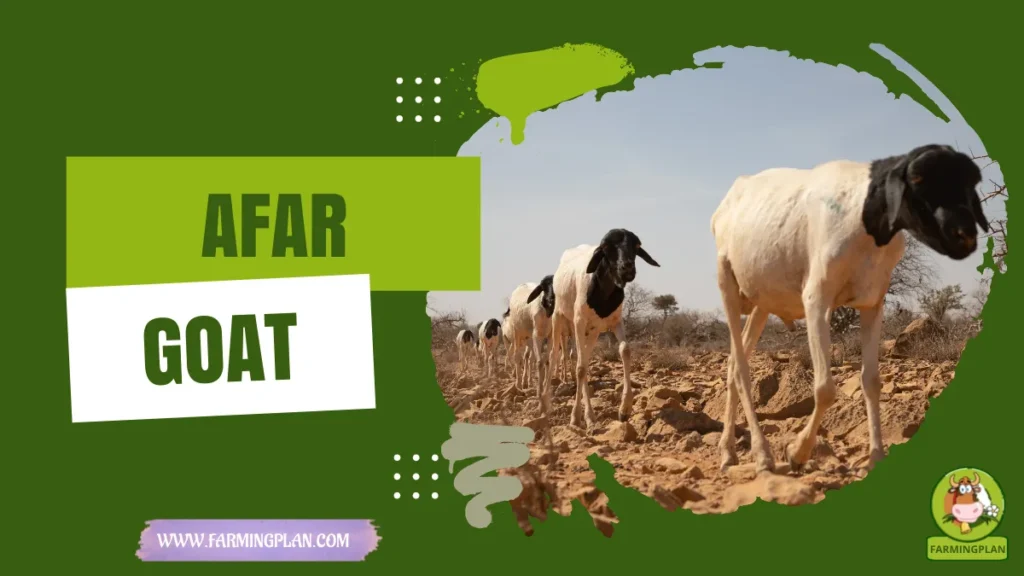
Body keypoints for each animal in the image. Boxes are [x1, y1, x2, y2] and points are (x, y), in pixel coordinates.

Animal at [544, 229, 660, 427]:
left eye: (636, 245)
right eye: (606, 247)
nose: (627, 268)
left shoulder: (615, 321)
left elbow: (625, 350)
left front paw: (624, 409)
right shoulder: (579, 322)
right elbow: (580, 368)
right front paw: (576, 416)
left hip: (592, 332)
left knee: (584, 358)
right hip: (559, 318)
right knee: (556, 356)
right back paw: (549, 404)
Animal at [711, 144, 988, 474]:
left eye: (970, 181)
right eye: (918, 179)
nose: (964, 235)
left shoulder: (873, 303)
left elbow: (871, 382)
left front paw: (877, 455)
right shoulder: (816, 298)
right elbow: (825, 388)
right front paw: (796, 452)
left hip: (762, 303)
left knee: (731, 366)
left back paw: (728, 452)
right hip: (727, 283)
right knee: (740, 369)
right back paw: (761, 454)